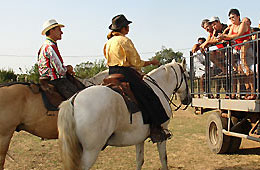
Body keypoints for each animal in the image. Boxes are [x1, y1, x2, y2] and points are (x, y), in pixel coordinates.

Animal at [57, 60, 191, 170]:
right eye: (188, 75)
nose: (188, 100)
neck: (158, 88)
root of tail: (73, 100)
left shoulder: (139, 138)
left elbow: (139, 160)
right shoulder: (163, 133)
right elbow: (164, 159)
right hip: (91, 151)